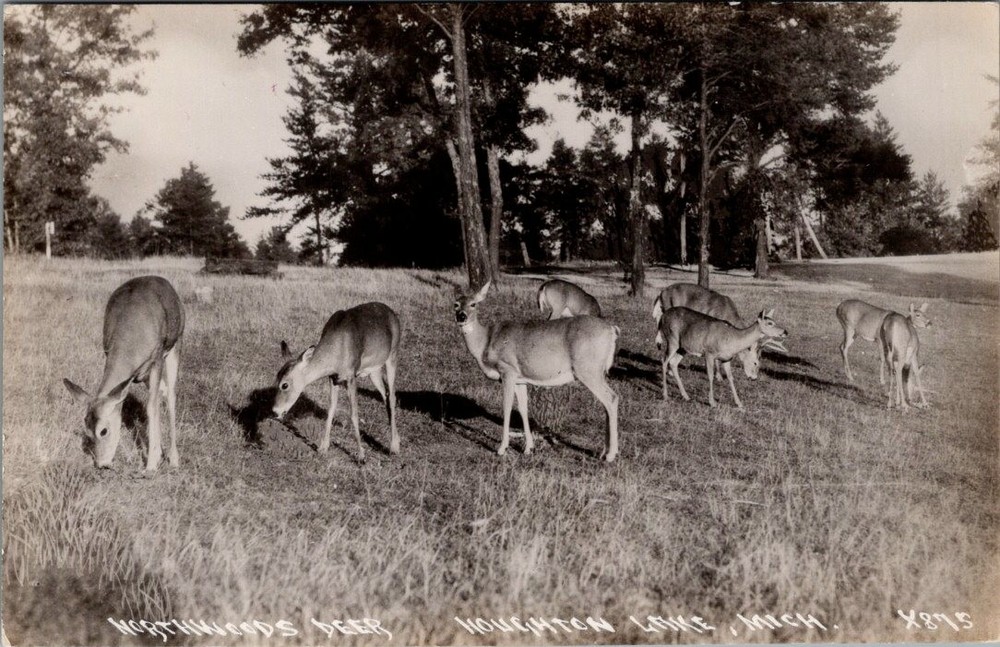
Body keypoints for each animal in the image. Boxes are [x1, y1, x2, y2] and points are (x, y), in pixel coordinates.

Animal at [63, 276, 184, 471]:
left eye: (103, 430)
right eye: (86, 430)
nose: (101, 464)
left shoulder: (157, 358)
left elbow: (152, 407)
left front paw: (151, 465)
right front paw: (155, 456)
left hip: (176, 343)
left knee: (170, 394)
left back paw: (173, 458)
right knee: (163, 390)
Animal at [272, 302, 401, 463]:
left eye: (285, 384)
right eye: (276, 378)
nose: (274, 411)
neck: (336, 350)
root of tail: (393, 313)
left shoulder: (351, 375)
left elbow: (354, 414)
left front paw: (361, 456)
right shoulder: (333, 378)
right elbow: (331, 409)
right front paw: (323, 448)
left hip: (393, 355)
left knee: (393, 396)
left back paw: (394, 447)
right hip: (374, 370)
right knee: (386, 394)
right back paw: (396, 440)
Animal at [454, 281, 620, 462]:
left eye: (474, 304)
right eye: (455, 304)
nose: (461, 316)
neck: (485, 341)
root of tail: (612, 330)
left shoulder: (507, 370)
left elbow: (506, 407)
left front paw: (502, 448)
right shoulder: (520, 379)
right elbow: (523, 409)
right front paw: (528, 448)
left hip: (588, 369)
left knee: (611, 398)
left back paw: (611, 455)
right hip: (597, 371)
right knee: (607, 402)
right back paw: (603, 452)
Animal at [657, 306, 788, 409]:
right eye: (770, 323)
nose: (785, 331)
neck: (732, 340)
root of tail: (663, 316)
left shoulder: (727, 358)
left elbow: (730, 378)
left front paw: (739, 403)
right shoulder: (709, 353)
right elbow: (710, 376)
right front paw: (712, 402)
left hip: (683, 347)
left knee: (673, 363)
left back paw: (686, 396)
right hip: (672, 338)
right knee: (664, 360)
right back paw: (665, 395)